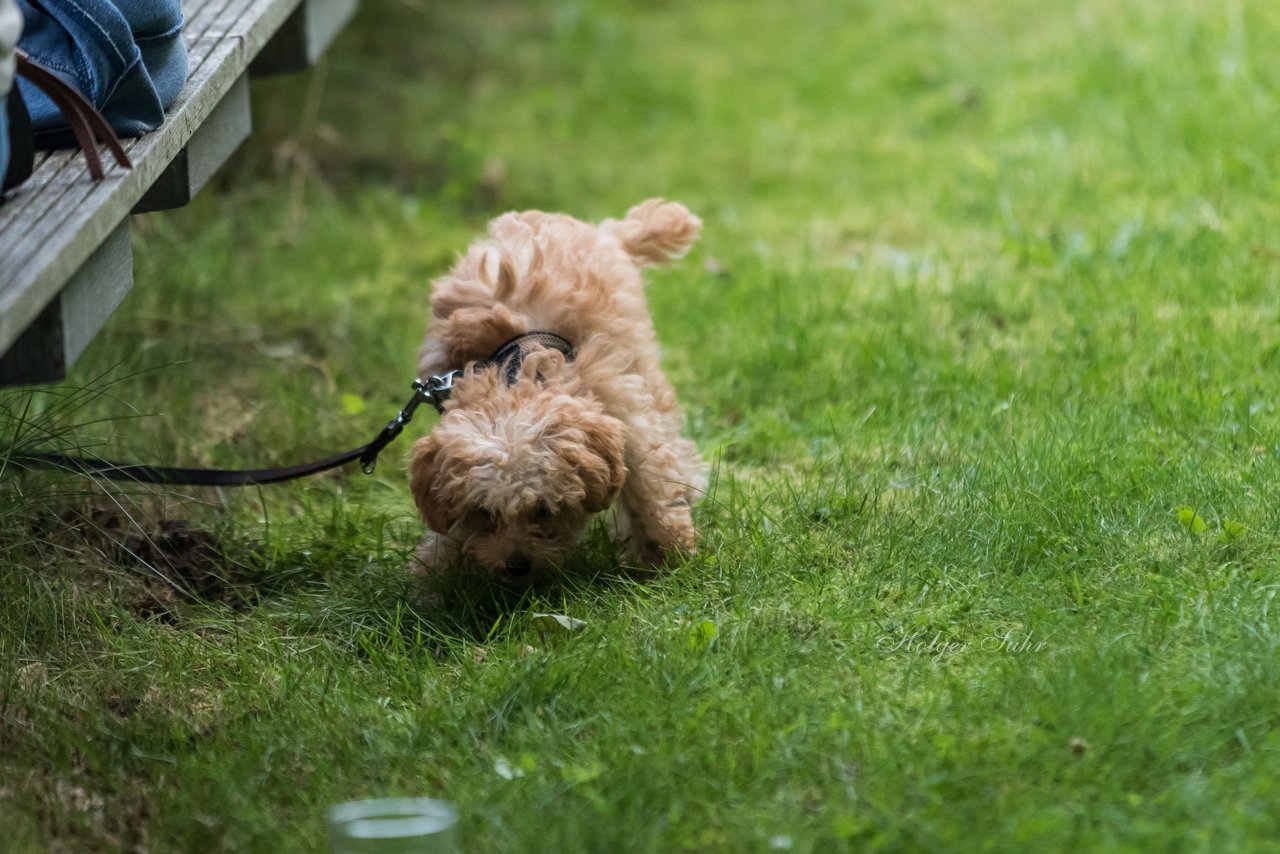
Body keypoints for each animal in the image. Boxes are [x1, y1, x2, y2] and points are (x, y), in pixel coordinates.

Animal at [412, 201, 706, 581]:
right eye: (486, 513)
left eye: (543, 509)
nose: (516, 566)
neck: (516, 369)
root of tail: (604, 232)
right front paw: (435, 571)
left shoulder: (619, 399)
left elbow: (648, 476)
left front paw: (669, 551)